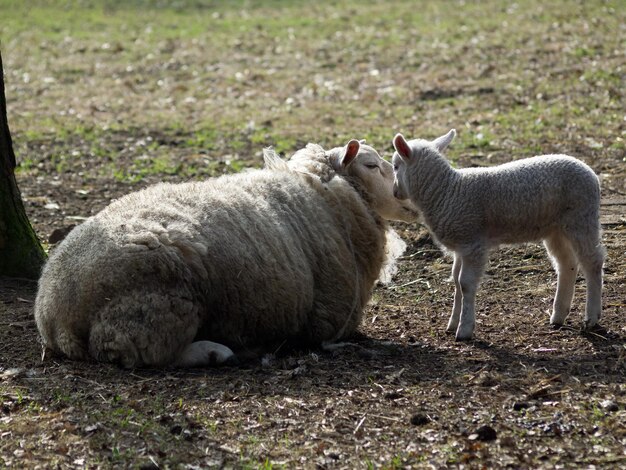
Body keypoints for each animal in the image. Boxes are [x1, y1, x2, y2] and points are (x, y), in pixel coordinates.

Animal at [33, 141, 414, 370]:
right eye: (371, 165)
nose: (408, 194)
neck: (326, 192)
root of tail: (53, 311)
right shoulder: (329, 321)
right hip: (155, 309)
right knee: (149, 354)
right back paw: (216, 351)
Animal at [392, 129, 604, 342]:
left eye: (395, 166)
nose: (394, 192)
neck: (446, 191)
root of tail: (591, 173)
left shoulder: (472, 243)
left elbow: (465, 284)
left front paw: (464, 329)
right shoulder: (461, 244)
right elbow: (456, 282)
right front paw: (452, 324)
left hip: (581, 218)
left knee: (592, 262)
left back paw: (591, 317)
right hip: (556, 229)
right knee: (567, 264)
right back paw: (559, 315)